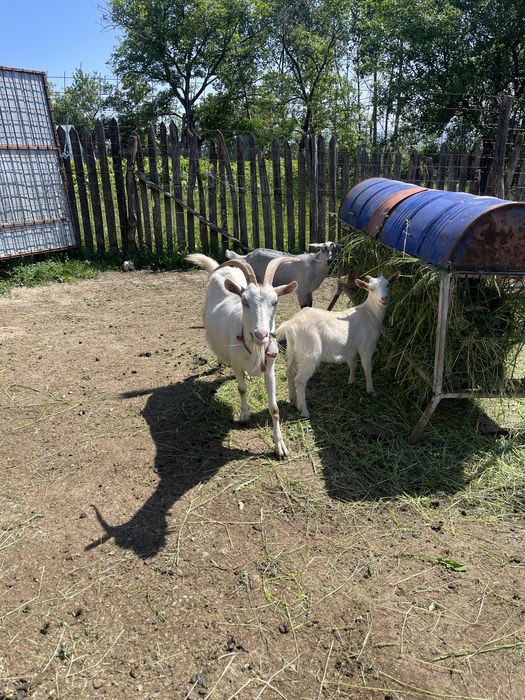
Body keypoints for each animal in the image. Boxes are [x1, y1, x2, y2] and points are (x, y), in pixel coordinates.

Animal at [186, 253, 298, 458]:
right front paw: (244, 414)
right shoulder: (236, 365)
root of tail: (221, 269)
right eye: (245, 301)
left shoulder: (270, 368)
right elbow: (242, 389)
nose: (261, 334)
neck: (254, 348)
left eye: (275, 302)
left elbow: (275, 408)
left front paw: (280, 446)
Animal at [276, 272, 399, 418]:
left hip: (293, 350)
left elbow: (353, 364)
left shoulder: (351, 348)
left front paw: (351, 381)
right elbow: (367, 368)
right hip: (309, 353)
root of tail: (290, 324)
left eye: (388, 285)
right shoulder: (366, 346)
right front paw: (371, 390)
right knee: (300, 380)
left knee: (289, 371)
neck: (370, 314)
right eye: (371, 288)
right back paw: (304, 411)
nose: (384, 299)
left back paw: (293, 400)